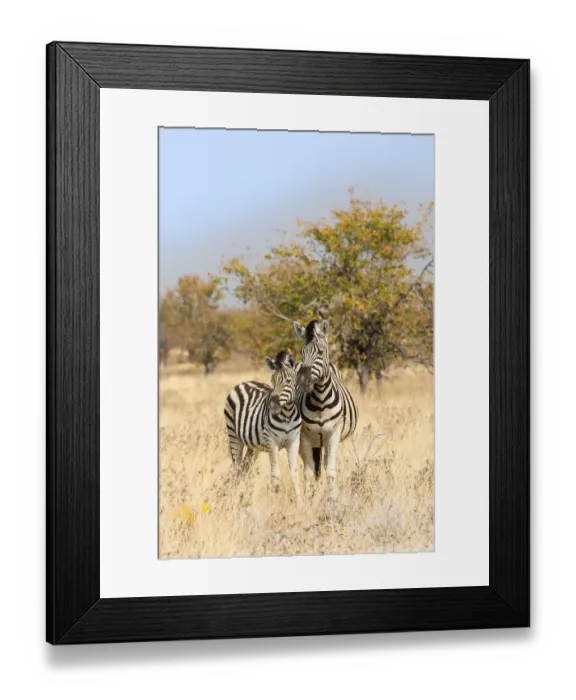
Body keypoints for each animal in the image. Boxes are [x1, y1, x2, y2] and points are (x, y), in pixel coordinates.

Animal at [224, 351, 303, 503]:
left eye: (288, 381)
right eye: (272, 380)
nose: (273, 407)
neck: (287, 415)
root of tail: (242, 383)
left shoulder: (294, 441)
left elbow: (295, 474)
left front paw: (301, 503)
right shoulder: (272, 442)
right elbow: (275, 474)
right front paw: (274, 501)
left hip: (252, 446)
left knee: (244, 469)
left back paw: (243, 495)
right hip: (234, 436)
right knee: (236, 468)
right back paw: (234, 497)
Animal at [293, 319, 358, 501]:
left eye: (320, 352)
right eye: (302, 352)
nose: (303, 381)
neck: (321, 400)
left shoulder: (333, 434)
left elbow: (330, 470)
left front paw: (333, 500)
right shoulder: (304, 437)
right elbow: (308, 471)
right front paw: (308, 499)